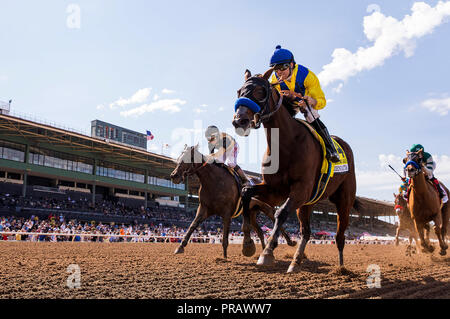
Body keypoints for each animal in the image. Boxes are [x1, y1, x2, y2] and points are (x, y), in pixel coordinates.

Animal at [232, 69, 358, 272]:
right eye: (239, 91)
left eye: (260, 91)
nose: (239, 120)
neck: (286, 144)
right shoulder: (274, 190)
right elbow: (245, 192)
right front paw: (247, 244)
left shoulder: (300, 190)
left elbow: (281, 213)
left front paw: (268, 252)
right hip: (306, 204)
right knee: (306, 232)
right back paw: (296, 261)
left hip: (344, 201)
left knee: (340, 235)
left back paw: (341, 268)